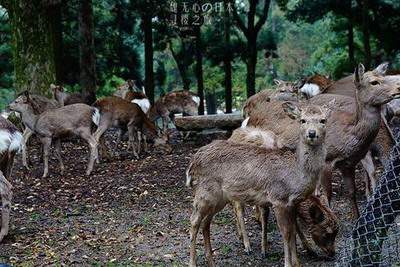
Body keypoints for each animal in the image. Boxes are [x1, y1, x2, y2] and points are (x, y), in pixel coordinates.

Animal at [228, 125, 338, 258]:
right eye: (327, 233)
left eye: (336, 233)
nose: (332, 253)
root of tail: (234, 133)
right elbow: (266, 216)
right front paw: (264, 250)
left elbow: (294, 225)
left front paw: (309, 249)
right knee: (238, 208)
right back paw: (247, 244)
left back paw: (241, 232)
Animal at [245, 63, 400, 219]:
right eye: (374, 82)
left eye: (384, 77)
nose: (398, 88)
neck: (348, 134)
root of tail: (250, 117)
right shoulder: (326, 161)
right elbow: (328, 195)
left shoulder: (348, 164)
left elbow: (352, 192)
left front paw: (356, 217)